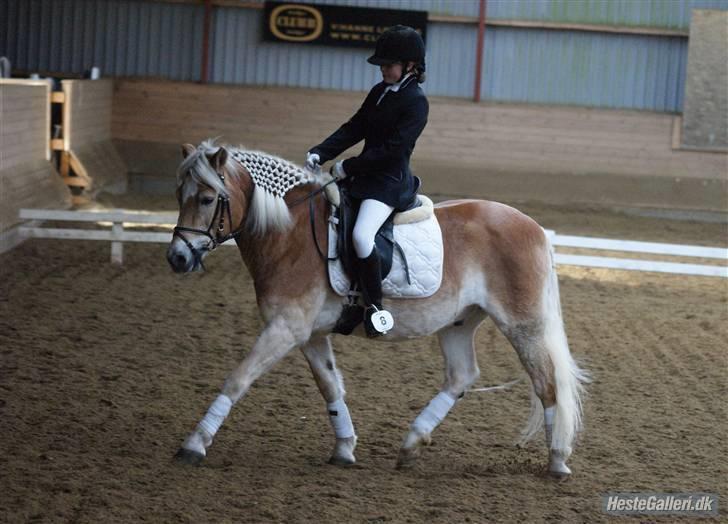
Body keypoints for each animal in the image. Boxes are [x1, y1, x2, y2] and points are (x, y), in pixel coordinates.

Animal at [168, 139, 588, 478]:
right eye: (178, 195)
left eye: (207, 199)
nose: (177, 258)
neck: (290, 235)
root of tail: (534, 226)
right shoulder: (308, 333)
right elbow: (330, 385)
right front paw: (344, 448)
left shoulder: (285, 327)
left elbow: (238, 379)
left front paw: (194, 444)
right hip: (458, 322)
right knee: (462, 376)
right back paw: (411, 444)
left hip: (523, 324)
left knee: (547, 383)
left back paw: (557, 460)